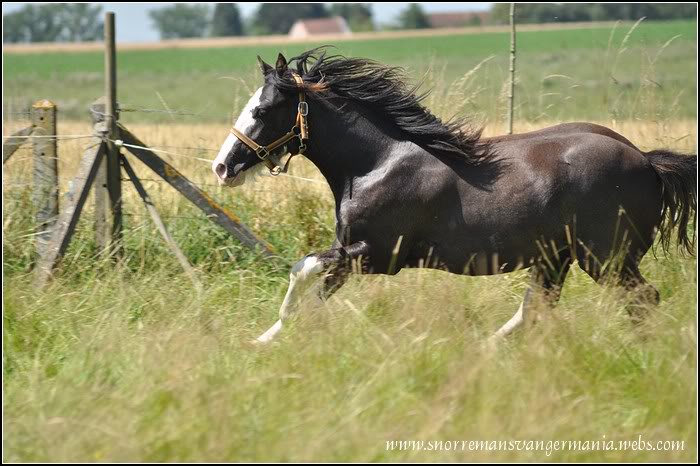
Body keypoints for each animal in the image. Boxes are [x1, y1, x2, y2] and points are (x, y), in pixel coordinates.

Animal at [212, 49, 696, 344]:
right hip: (556, 258)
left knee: (643, 300)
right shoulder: (349, 252)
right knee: (536, 309)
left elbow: (304, 267)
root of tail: (647, 161)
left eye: (261, 110)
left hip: (606, 258)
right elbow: (313, 293)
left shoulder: (379, 254)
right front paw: (262, 343)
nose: (222, 167)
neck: (376, 164)